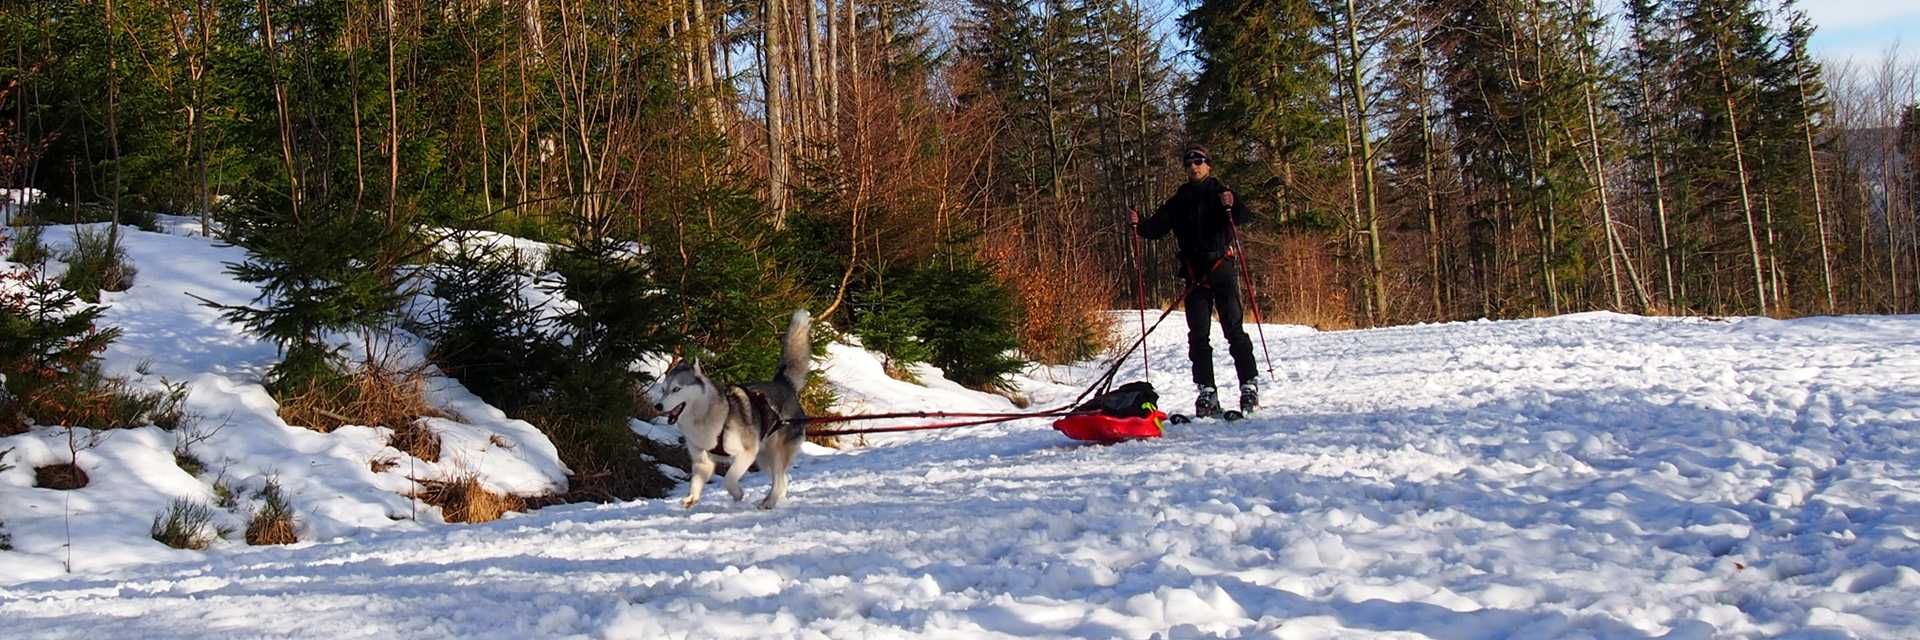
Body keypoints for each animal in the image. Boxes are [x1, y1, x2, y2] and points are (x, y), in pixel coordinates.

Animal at [652, 309, 810, 507]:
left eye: (676, 389)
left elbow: (728, 479)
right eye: (663, 390)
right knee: (783, 479)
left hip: (775, 454)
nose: (658, 406)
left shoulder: (746, 453)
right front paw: (691, 498)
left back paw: (769, 501)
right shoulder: (702, 461)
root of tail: (784, 384)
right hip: (764, 458)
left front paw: (737, 493)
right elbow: (696, 481)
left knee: (780, 479)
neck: (707, 416)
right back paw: (775, 499)